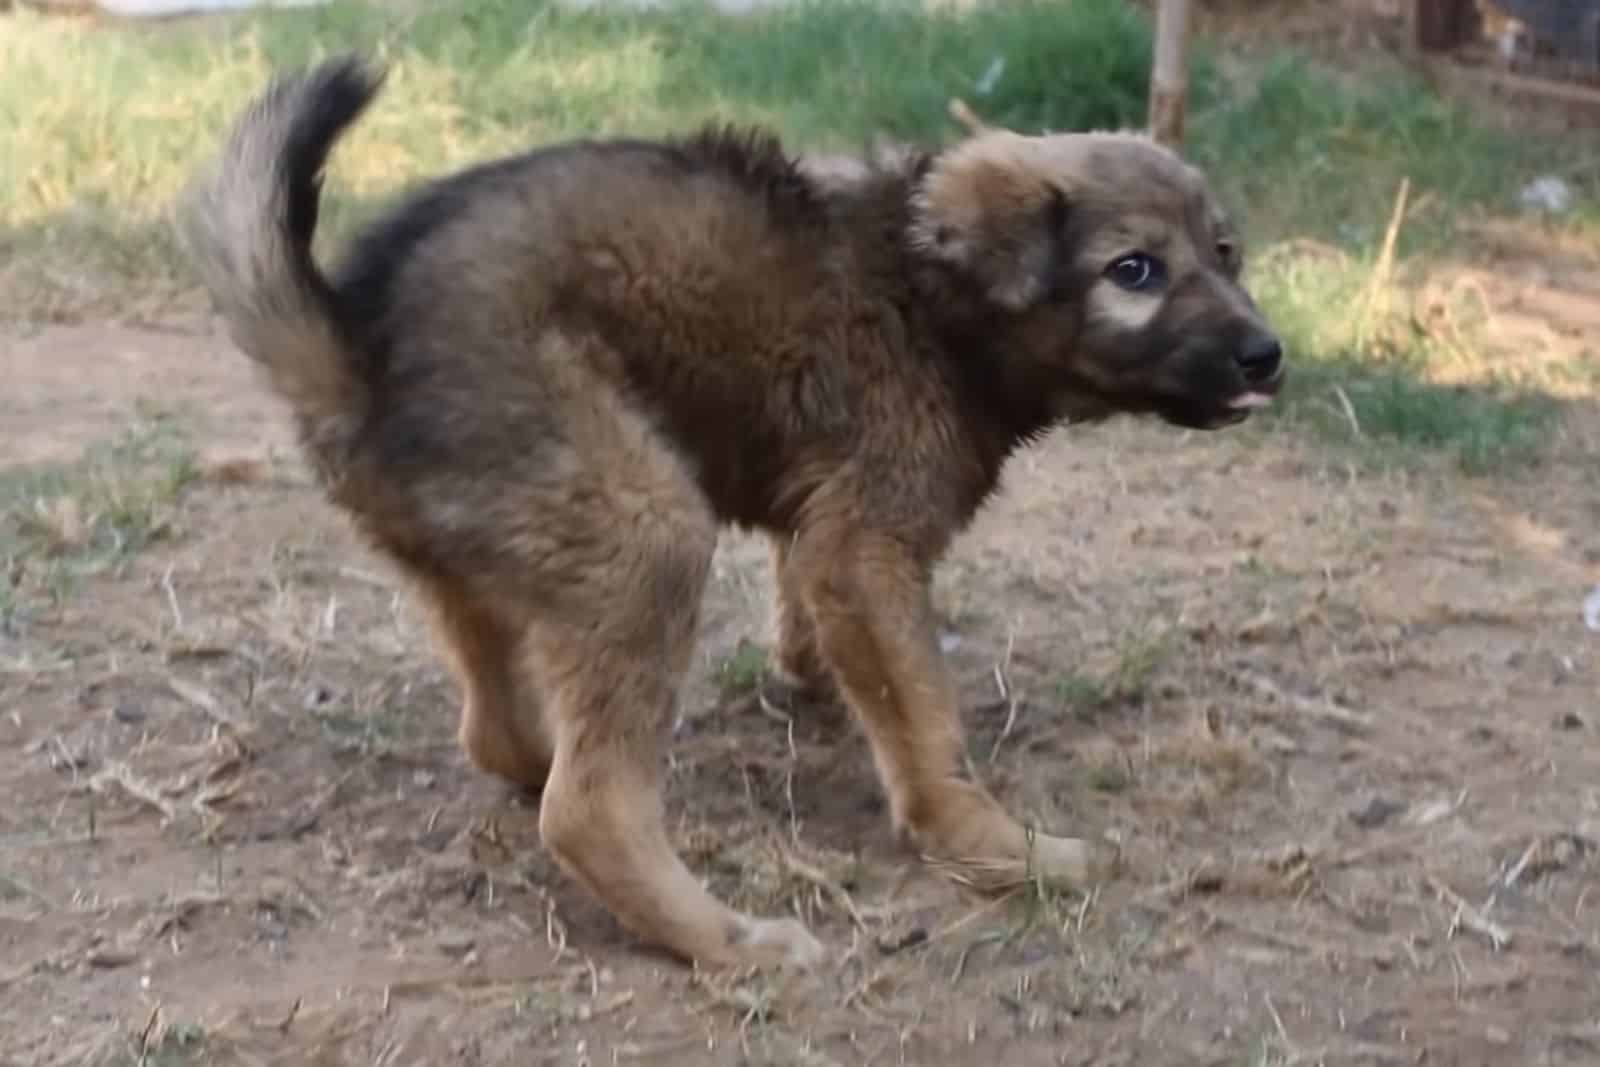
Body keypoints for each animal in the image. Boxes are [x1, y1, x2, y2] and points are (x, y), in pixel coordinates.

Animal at [178, 54, 1286, 972]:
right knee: (587, 807)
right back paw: (727, 938)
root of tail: (352, 350)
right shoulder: (863, 540)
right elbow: (927, 721)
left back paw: (544, 756)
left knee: (499, 731)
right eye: (1134, 270)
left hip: (493, 564)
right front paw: (986, 842)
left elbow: (836, 638)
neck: (935, 296)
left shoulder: (825, 524)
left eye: (1227, 253)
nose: (1267, 355)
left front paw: (821, 688)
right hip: (647, 531)